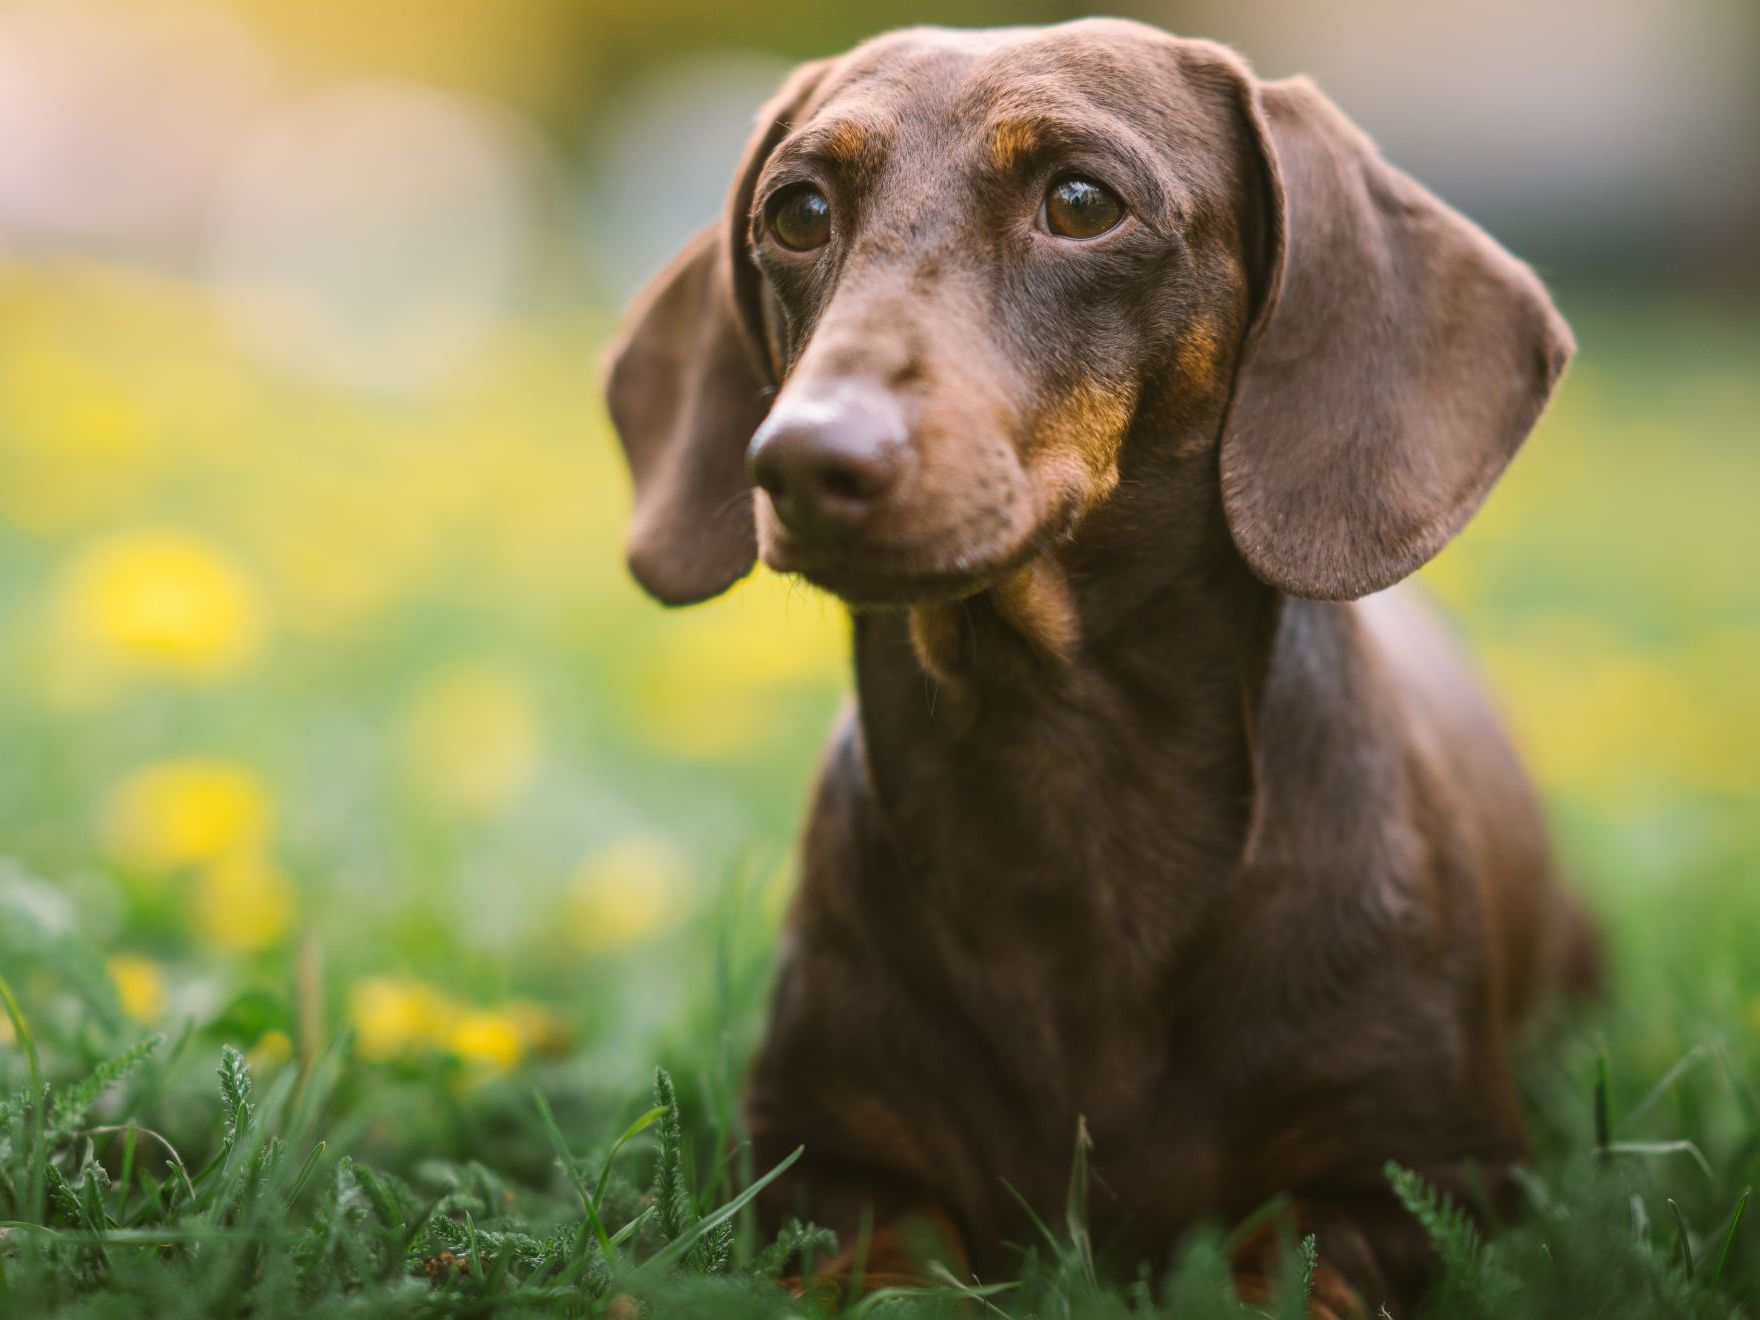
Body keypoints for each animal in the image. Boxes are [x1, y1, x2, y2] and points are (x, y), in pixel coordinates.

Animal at [601, 18, 1598, 1316]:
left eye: (1081, 202)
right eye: (797, 212)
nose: (803, 460)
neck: (1054, 787)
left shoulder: (1411, 1179)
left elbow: (1282, 1269)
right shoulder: (824, 1165)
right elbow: (883, 1269)